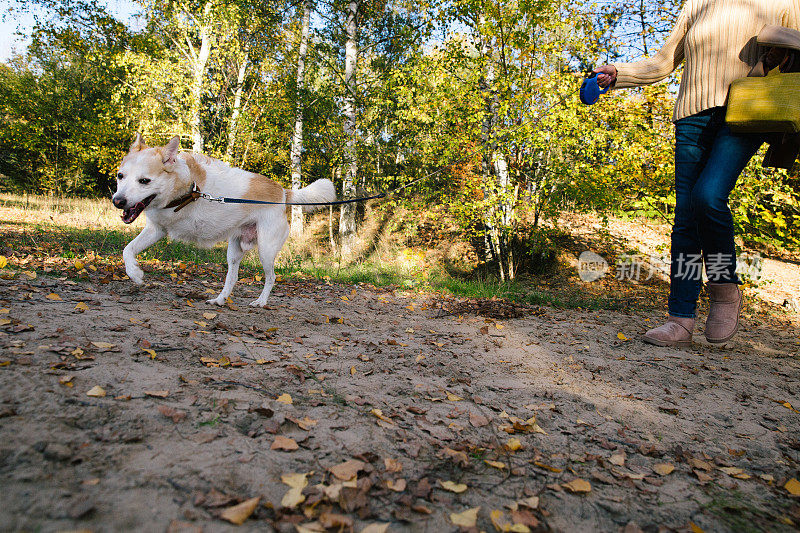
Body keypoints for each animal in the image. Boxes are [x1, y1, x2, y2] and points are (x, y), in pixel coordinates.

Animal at [111, 135, 332, 306]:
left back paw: (261, 301)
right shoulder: (156, 230)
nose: (117, 201)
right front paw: (134, 273)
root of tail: (283, 193)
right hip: (234, 252)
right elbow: (127, 249)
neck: (184, 190)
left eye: (144, 181)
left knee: (271, 277)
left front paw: (136, 273)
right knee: (232, 278)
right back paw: (220, 300)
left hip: (266, 251)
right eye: (120, 176)